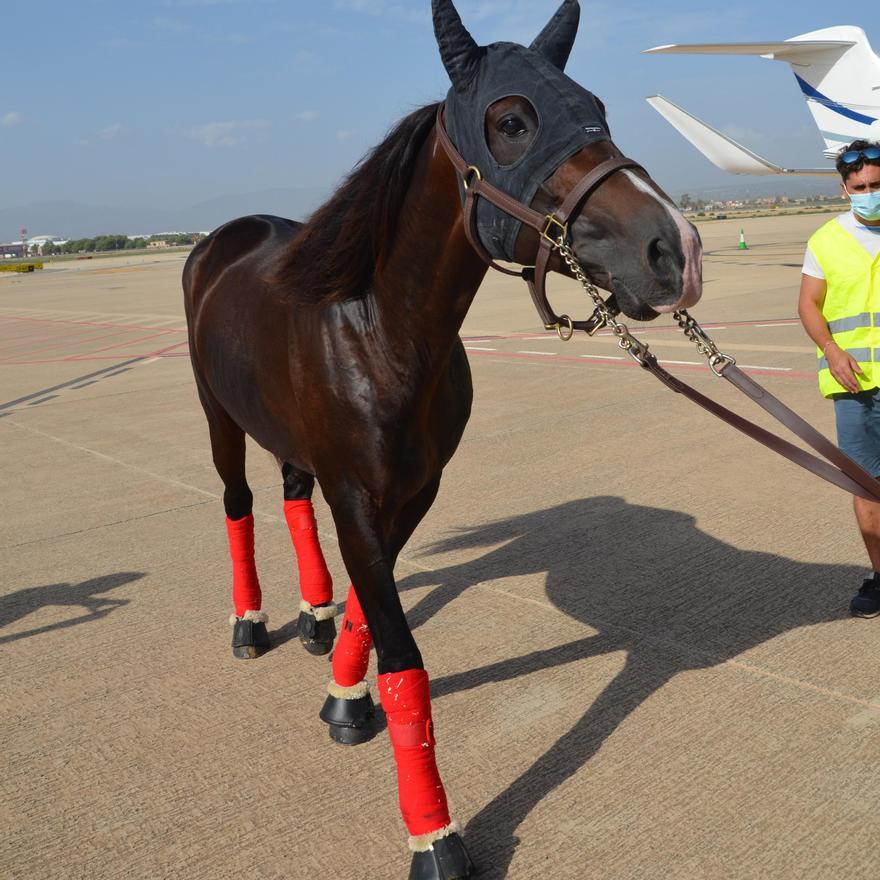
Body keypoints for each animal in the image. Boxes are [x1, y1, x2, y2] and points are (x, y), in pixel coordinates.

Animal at [184, 3, 700, 876]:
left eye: (596, 106)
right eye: (512, 121)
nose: (675, 250)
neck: (379, 331)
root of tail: (221, 239)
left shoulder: (413, 490)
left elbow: (373, 600)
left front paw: (345, 696)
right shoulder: (356, 494)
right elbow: (404, 655)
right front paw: (434, 833)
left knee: (290, 499)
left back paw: (312, 617)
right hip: (220, 419)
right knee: (238, 503)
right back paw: (251, 625)